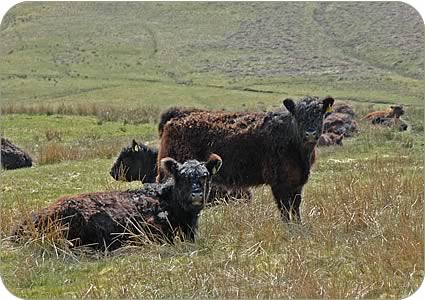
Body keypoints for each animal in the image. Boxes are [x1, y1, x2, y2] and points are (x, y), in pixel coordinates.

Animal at [157, 96, 332, 223]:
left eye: (319, 115)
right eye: (299, 116)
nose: (310, 133)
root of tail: (180, 115)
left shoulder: (296, 182)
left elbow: (295, 208)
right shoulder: (278, 182)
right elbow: (284, 209)